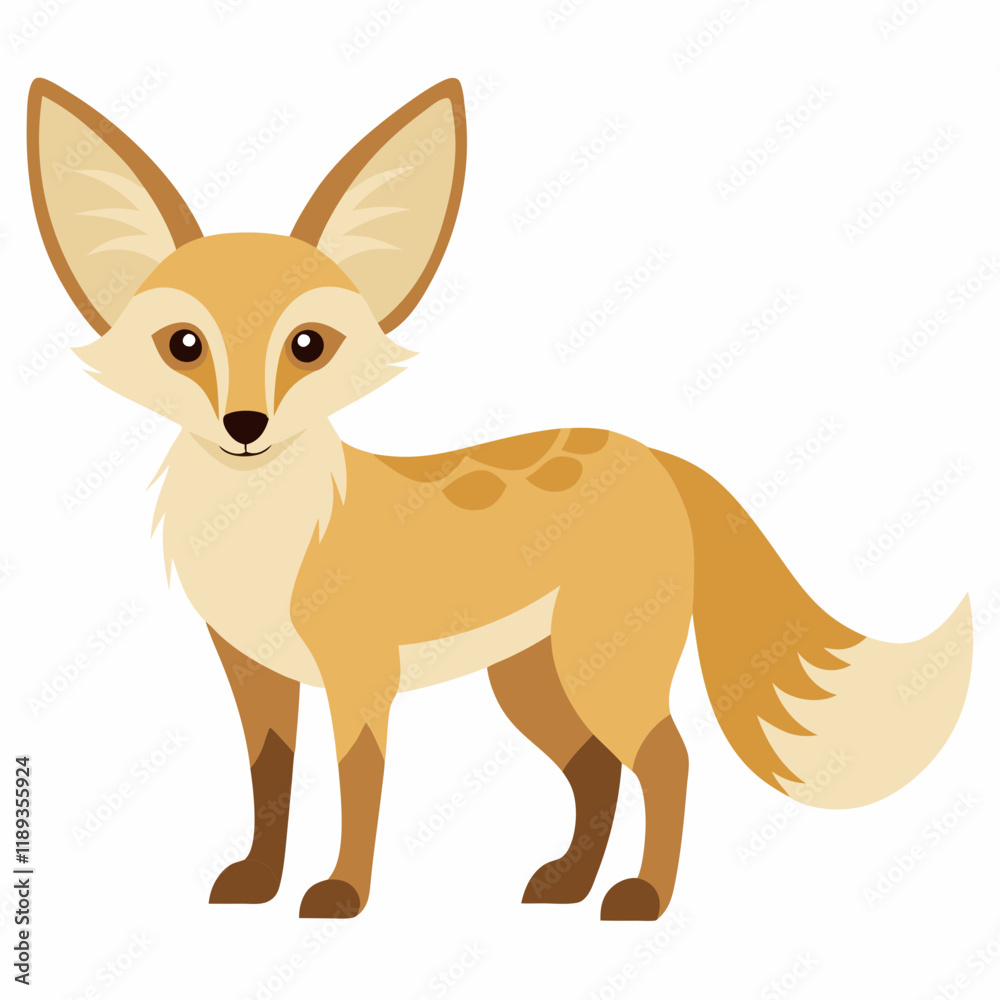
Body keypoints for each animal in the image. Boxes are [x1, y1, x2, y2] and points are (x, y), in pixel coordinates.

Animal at [27, 77, 973, 922]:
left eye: (308, 345)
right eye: (183, 345)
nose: (246, 424)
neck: (261, 536)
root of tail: (656, 455)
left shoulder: (360, 678)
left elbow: (359, 792)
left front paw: (341, 896)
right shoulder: (252, 670)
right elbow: (271, 786)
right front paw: (259, 883)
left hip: (602, 671)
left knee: (666, 760)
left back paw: (643, 898)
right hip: (536, 682)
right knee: (597, 769)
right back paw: (567, 886)